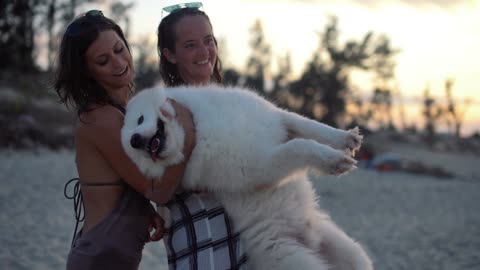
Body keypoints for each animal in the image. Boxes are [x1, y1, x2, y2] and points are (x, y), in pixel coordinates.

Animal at [121, 85, 376, 270]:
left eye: (140, 120)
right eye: (135, 152)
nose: (134, 140)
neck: (199, 128)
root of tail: (308, 239)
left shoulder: (277, 118)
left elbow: (310, 125)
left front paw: (346, 139)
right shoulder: (261, 165)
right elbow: (299, 146)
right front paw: (334, 161)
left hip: (354, 255)